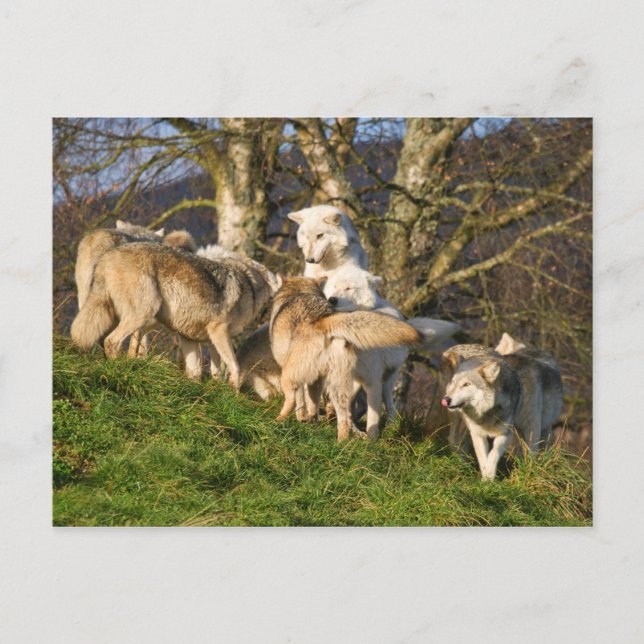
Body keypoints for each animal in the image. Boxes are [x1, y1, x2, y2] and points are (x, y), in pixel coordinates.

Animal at [70, 243, 281, 389]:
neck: (248, 283)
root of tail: (106, 257)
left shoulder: (193, 338)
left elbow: (204, 372)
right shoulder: (219, 332)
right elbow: (235, 367)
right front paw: (233, 395)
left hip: (137, 318)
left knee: (119, 344)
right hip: (145, 313)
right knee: (111, 341)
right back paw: (118, 369)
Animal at [269, 277, 423, 441]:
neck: (298, 292)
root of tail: (324, 320)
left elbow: (301, 402)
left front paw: (302, 420)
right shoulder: (317, 380)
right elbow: (313, 404)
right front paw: (312, 422)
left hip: (289, 376)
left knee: (291, 400)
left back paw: (278, 420)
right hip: (339, 387)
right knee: (345, 417)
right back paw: (341, 442)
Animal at [322, 265, 462, 440]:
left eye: (348, 288)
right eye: (334, 286)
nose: (332, 300)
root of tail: (403, 319)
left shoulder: (372, 380)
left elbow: (371, 416)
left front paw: (371, 440)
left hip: (388, 380)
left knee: (390, 406)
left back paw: (388, 429)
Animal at [441, 344, 563, 480]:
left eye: (466, 384)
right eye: (454, 382)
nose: (446, 399)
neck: (488, 412)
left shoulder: (506, 434)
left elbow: (493, 455)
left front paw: (489, 477)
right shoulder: (478, 434)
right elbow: (483, 459)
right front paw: (486, 479)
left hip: (533, 427)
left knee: (532, 451)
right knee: (455, 442)